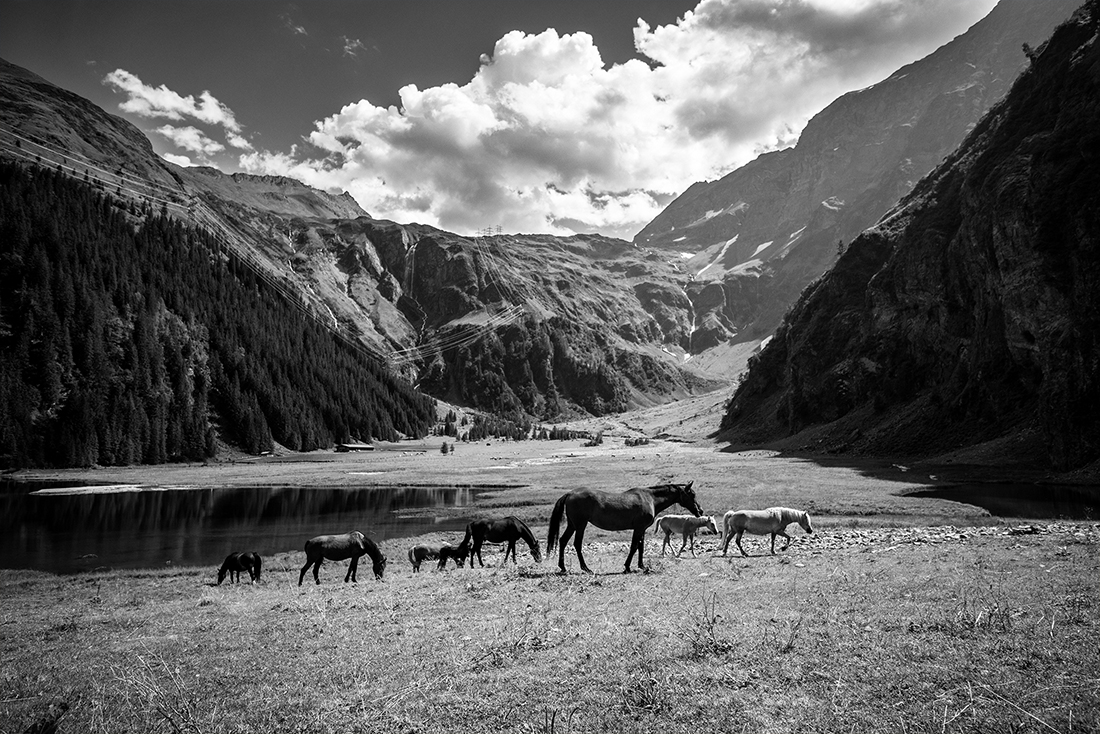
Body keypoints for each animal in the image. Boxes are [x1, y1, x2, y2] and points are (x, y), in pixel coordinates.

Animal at [547, 481, 701, 574]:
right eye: (692, 494)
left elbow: (641, 547)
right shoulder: (638, 528)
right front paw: (627, 567)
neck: (650, 498)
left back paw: (563, 567)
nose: (700, 511)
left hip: (572, 525)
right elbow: (634, 547)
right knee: (577, 544)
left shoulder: (642, 529)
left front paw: (642, 566)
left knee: (562, 541)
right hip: (580, 525)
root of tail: (570, 493)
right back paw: (585, 568)